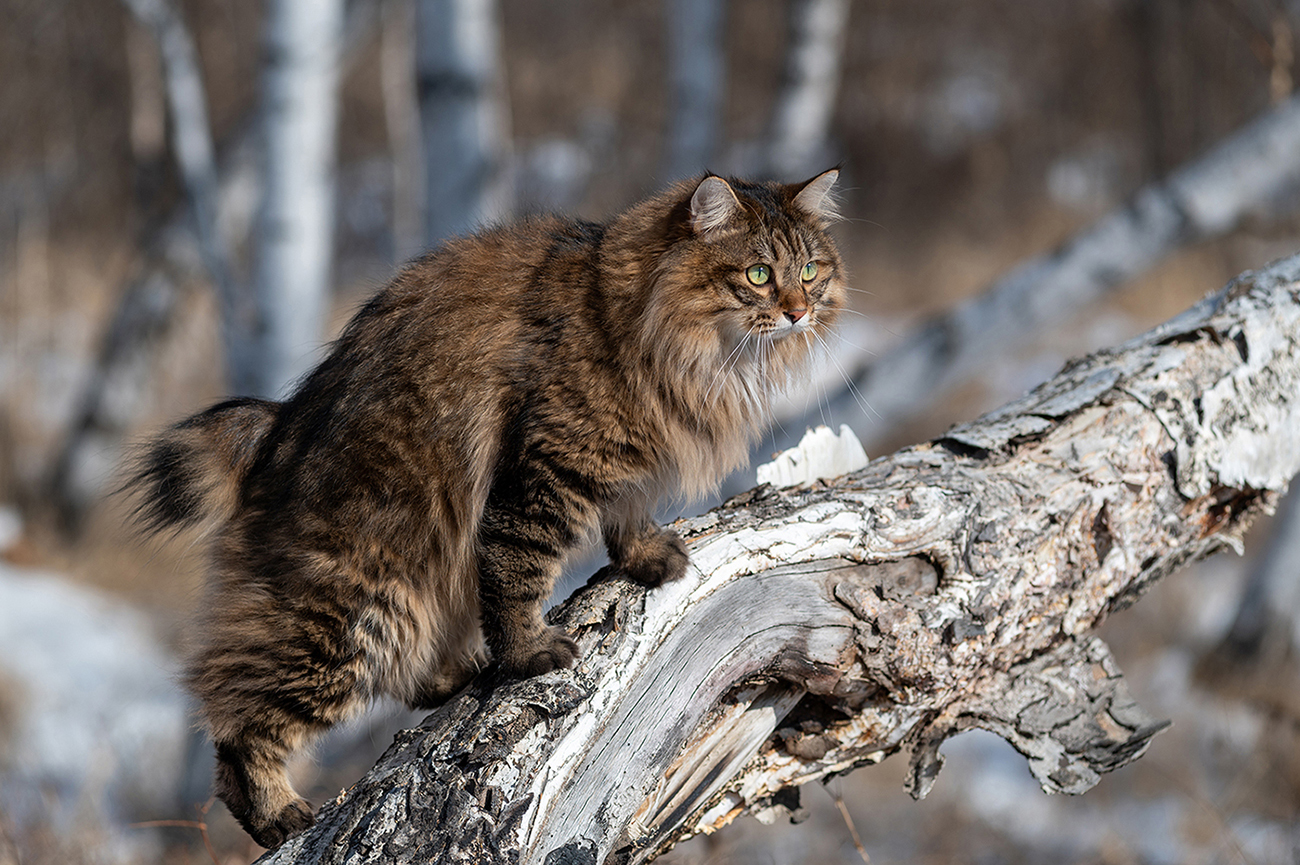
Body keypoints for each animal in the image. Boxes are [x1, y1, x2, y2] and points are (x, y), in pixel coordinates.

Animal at [126, 166, 847, 842]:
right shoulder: (549, 466)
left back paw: (456, 673)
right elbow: (516, 569)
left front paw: (647, 558)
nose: (798, 310)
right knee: (239, 725)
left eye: (810, 271)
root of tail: (277, 426)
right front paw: (527, 651)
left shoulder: (626, 463)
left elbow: (626, 520)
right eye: (758, 274)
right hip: (356, 611)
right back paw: (275, 811)